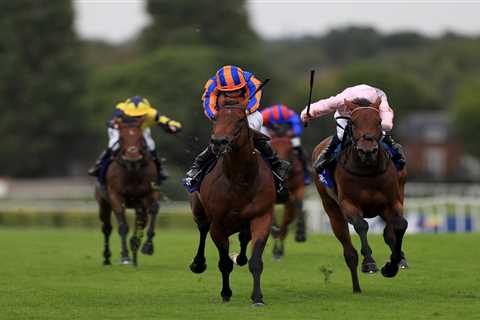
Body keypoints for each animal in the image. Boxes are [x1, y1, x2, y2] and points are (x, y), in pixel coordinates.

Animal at [94, 119, 160, 266]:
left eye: (140, 137)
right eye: (122, 138)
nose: (132, 155)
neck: (133, 171)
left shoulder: (149, 193)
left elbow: (153, 210)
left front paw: (147, 246)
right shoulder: (115, 196)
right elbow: (123, 226)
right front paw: (124, 256)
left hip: (139, 205)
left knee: (141, 221)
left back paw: (135, 247)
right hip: (103, 203)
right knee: (106, 228)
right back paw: (107, 257)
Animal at [189, 104, 276, 304]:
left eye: (241, 120)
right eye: (215, 118)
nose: (218, 142)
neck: (240, 180)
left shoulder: (262, 216)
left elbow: (256, 261)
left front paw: (257, 297)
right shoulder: (218, 224)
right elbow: (224, 263)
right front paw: (226, 293)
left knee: (244, 238)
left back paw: (240, 258)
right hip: (198, 208)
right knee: (203, 229)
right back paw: (198, 263)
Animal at [270, 131, 308, 260]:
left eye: (289, 149)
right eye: (274, 147)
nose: (282, 168)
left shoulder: (298, 188)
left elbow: (299, 204)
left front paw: (300, 233)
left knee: (285, 224)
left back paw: (278, 250)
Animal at [312, 99, 408, 294]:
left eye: (379, 122)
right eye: (354, 123)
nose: (367, 150)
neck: (367, 171)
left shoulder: (392, 202)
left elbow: (400, 225)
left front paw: (392, 265)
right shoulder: (349, 204)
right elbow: (362, 225)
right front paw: (369, 262)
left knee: (389, 232)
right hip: (331, 209)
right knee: (349, 252)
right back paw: (356, 287)